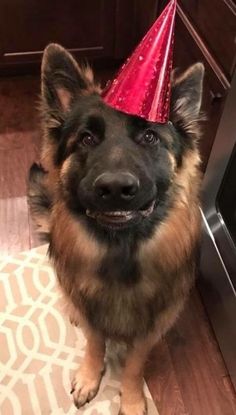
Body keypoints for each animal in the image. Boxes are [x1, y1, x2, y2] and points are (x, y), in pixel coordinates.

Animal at [27, 44, 204, 414]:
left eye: (150, 136)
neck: (120, 255)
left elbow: (135, 364)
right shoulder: (93, 315)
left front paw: (133, 399)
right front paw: (89, 376)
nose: (116, 188)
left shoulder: (150, 329)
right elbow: (95, 344)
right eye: (87, 138)